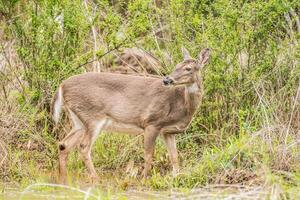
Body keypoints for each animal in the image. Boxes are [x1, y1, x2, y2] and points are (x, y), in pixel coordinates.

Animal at [51, 47, 210, 184]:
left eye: (188, 68)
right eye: (176, 65)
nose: (167, 80)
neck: (181, 104)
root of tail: (62, 86)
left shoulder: (168, 131)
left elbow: (174, 156)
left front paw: (176, 177)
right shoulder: (152, 122)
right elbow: (149, 155)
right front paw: (145, 180)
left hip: (78, 121)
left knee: (63, 144)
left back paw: (63, 181)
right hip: (92, 116)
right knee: (83, 146)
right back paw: (96, 179)